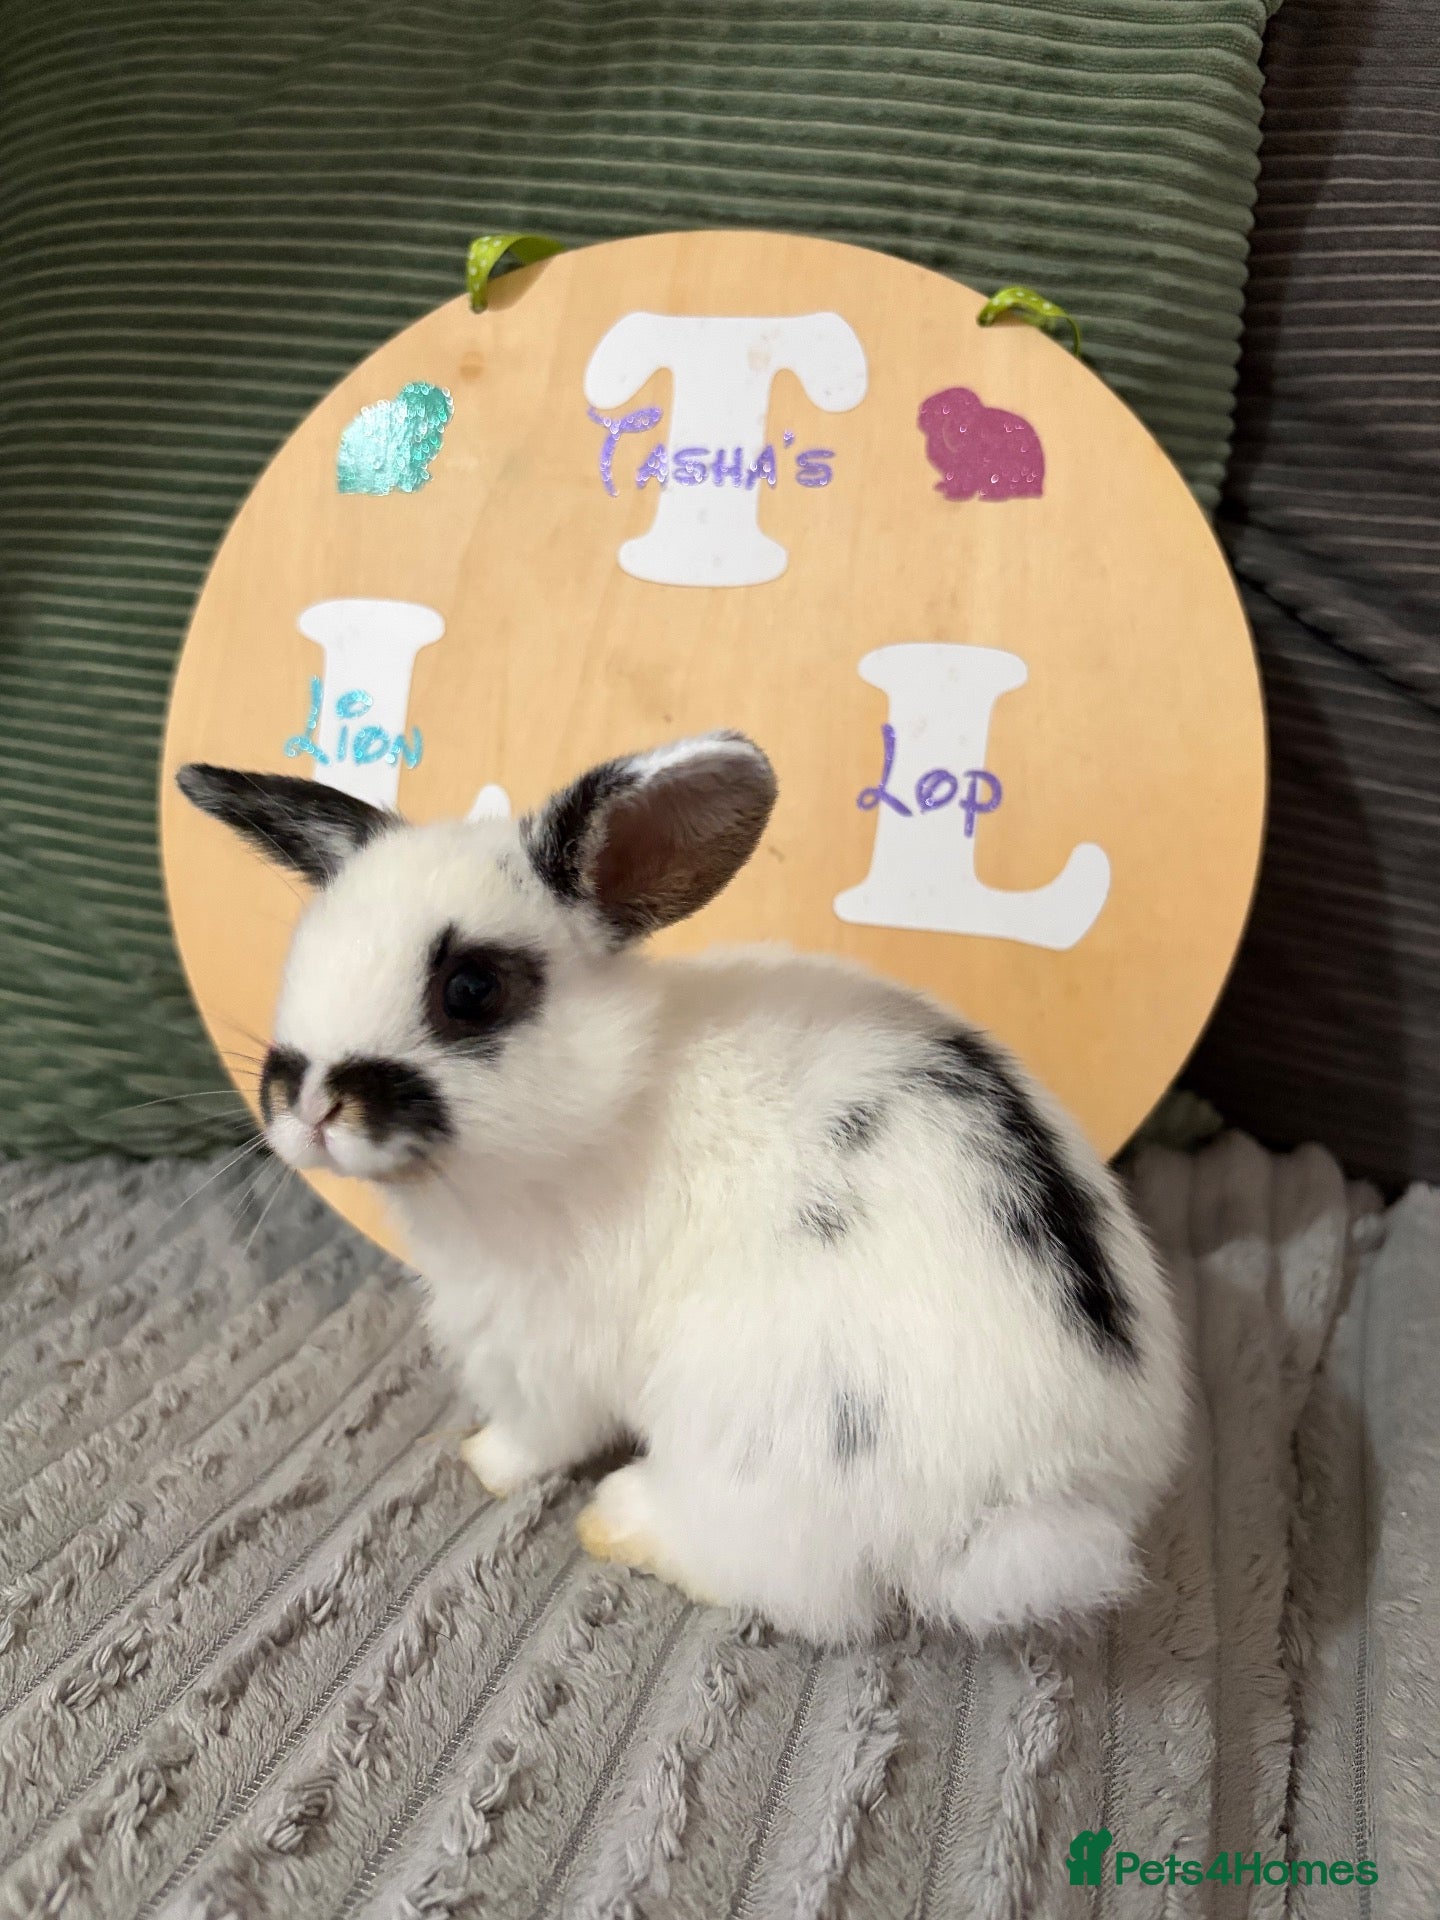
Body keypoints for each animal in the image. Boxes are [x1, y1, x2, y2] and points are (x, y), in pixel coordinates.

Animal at [178, 732, 1189, 1646]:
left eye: (471, 989)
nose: (308, 1100)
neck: (613, 1098)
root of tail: (1027, 1507)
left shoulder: (543, 1349)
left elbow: (538, 1433)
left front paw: (481, 1463)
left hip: (752, 1440)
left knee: (797, 1585)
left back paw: (624, 1523)